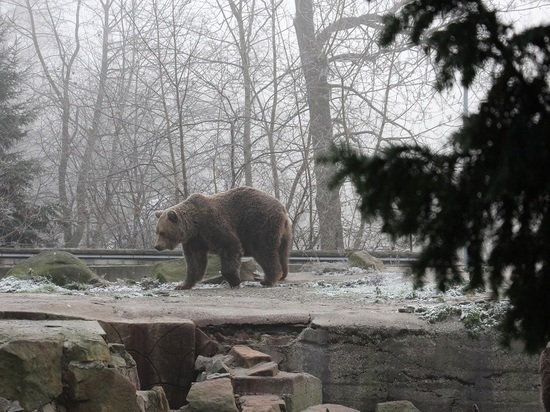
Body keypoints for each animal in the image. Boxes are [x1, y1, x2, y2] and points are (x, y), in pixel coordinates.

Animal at [154, 187, 294, 290]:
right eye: (157, 232)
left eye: (162, 232)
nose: (157, 246)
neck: (195, 225)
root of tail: (283, 208)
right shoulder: (195, 240)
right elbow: (194, 261)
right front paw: (183, 284)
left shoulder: (213, 226)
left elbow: (231, 247)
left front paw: (234, 280)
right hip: (284, 233)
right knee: (282, 253)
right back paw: (282, 274)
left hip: (260, 225)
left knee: (264, 251)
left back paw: (268, 280)